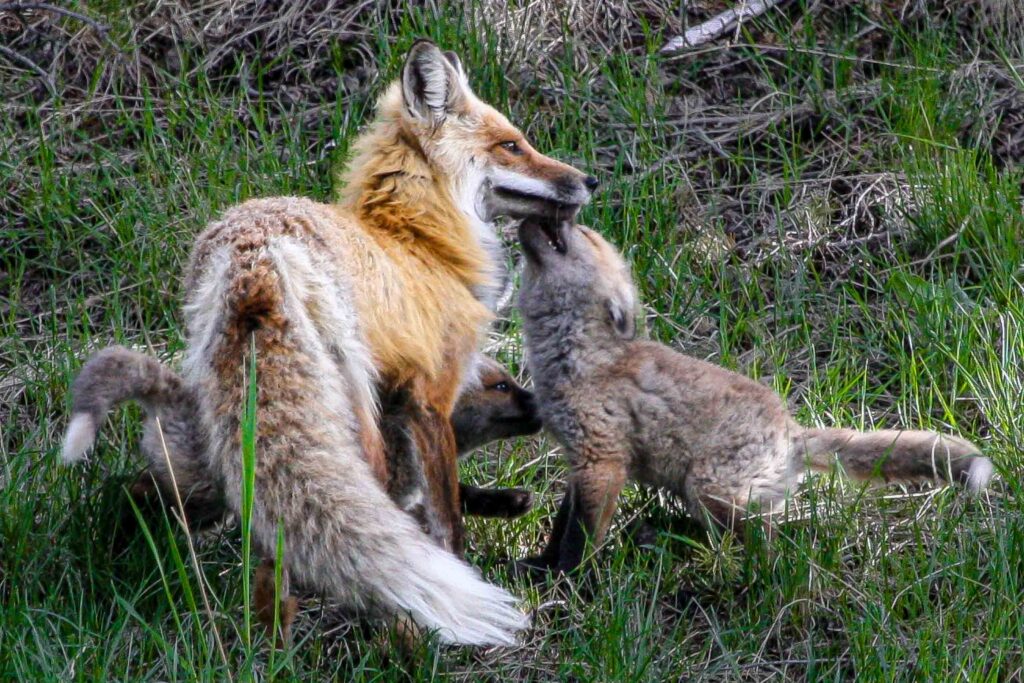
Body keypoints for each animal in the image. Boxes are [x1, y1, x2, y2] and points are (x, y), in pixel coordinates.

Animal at [63, 40, 595, 646]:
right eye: (512, 145)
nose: (590, 181)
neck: (421, 242)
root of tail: (256, 257)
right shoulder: (429, 398)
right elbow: (447, 521)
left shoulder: (399, 401)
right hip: (351, 412)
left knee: (262, 541)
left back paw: (264, 642)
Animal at [514, 218, 994, 575]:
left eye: (584, 233)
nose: (552, 209)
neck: (580, 356)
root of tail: (792, 433)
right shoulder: (579, 461)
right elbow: (561, 526)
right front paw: (540, 567)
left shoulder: (602, 459)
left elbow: (581, 538)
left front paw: (570, 584)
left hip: (708, 489)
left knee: (771, 540)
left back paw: (763, 578)